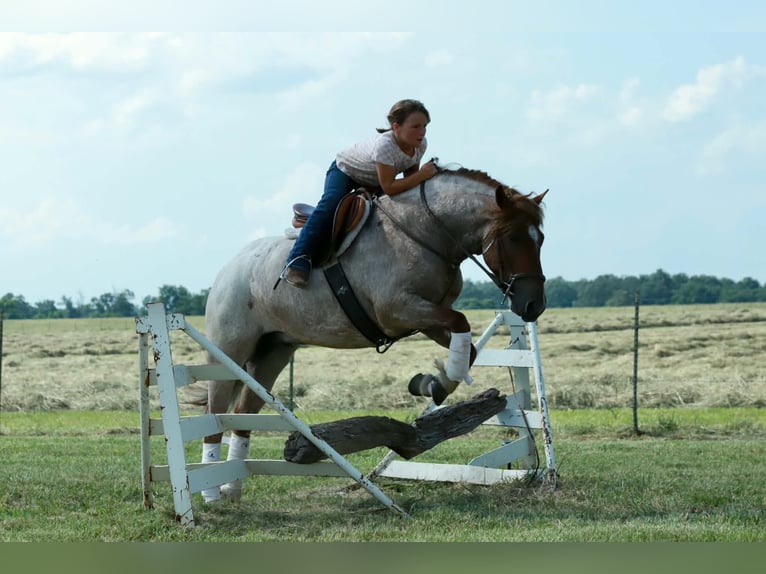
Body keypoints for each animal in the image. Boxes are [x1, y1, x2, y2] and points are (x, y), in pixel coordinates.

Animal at [197, 166, 548, 502]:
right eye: (513, 238)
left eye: (540, 239)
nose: (533, 305)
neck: (426, 234)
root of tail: (228, 268)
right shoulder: (397, 311)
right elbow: (460, 321)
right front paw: (432, 383)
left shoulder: (428, 318)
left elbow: (467, 346)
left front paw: (432, 384)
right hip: (229, 350)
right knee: (214, 413)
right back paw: (210, 492)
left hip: (274, 352)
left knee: (242, 413)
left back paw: (232, 488)